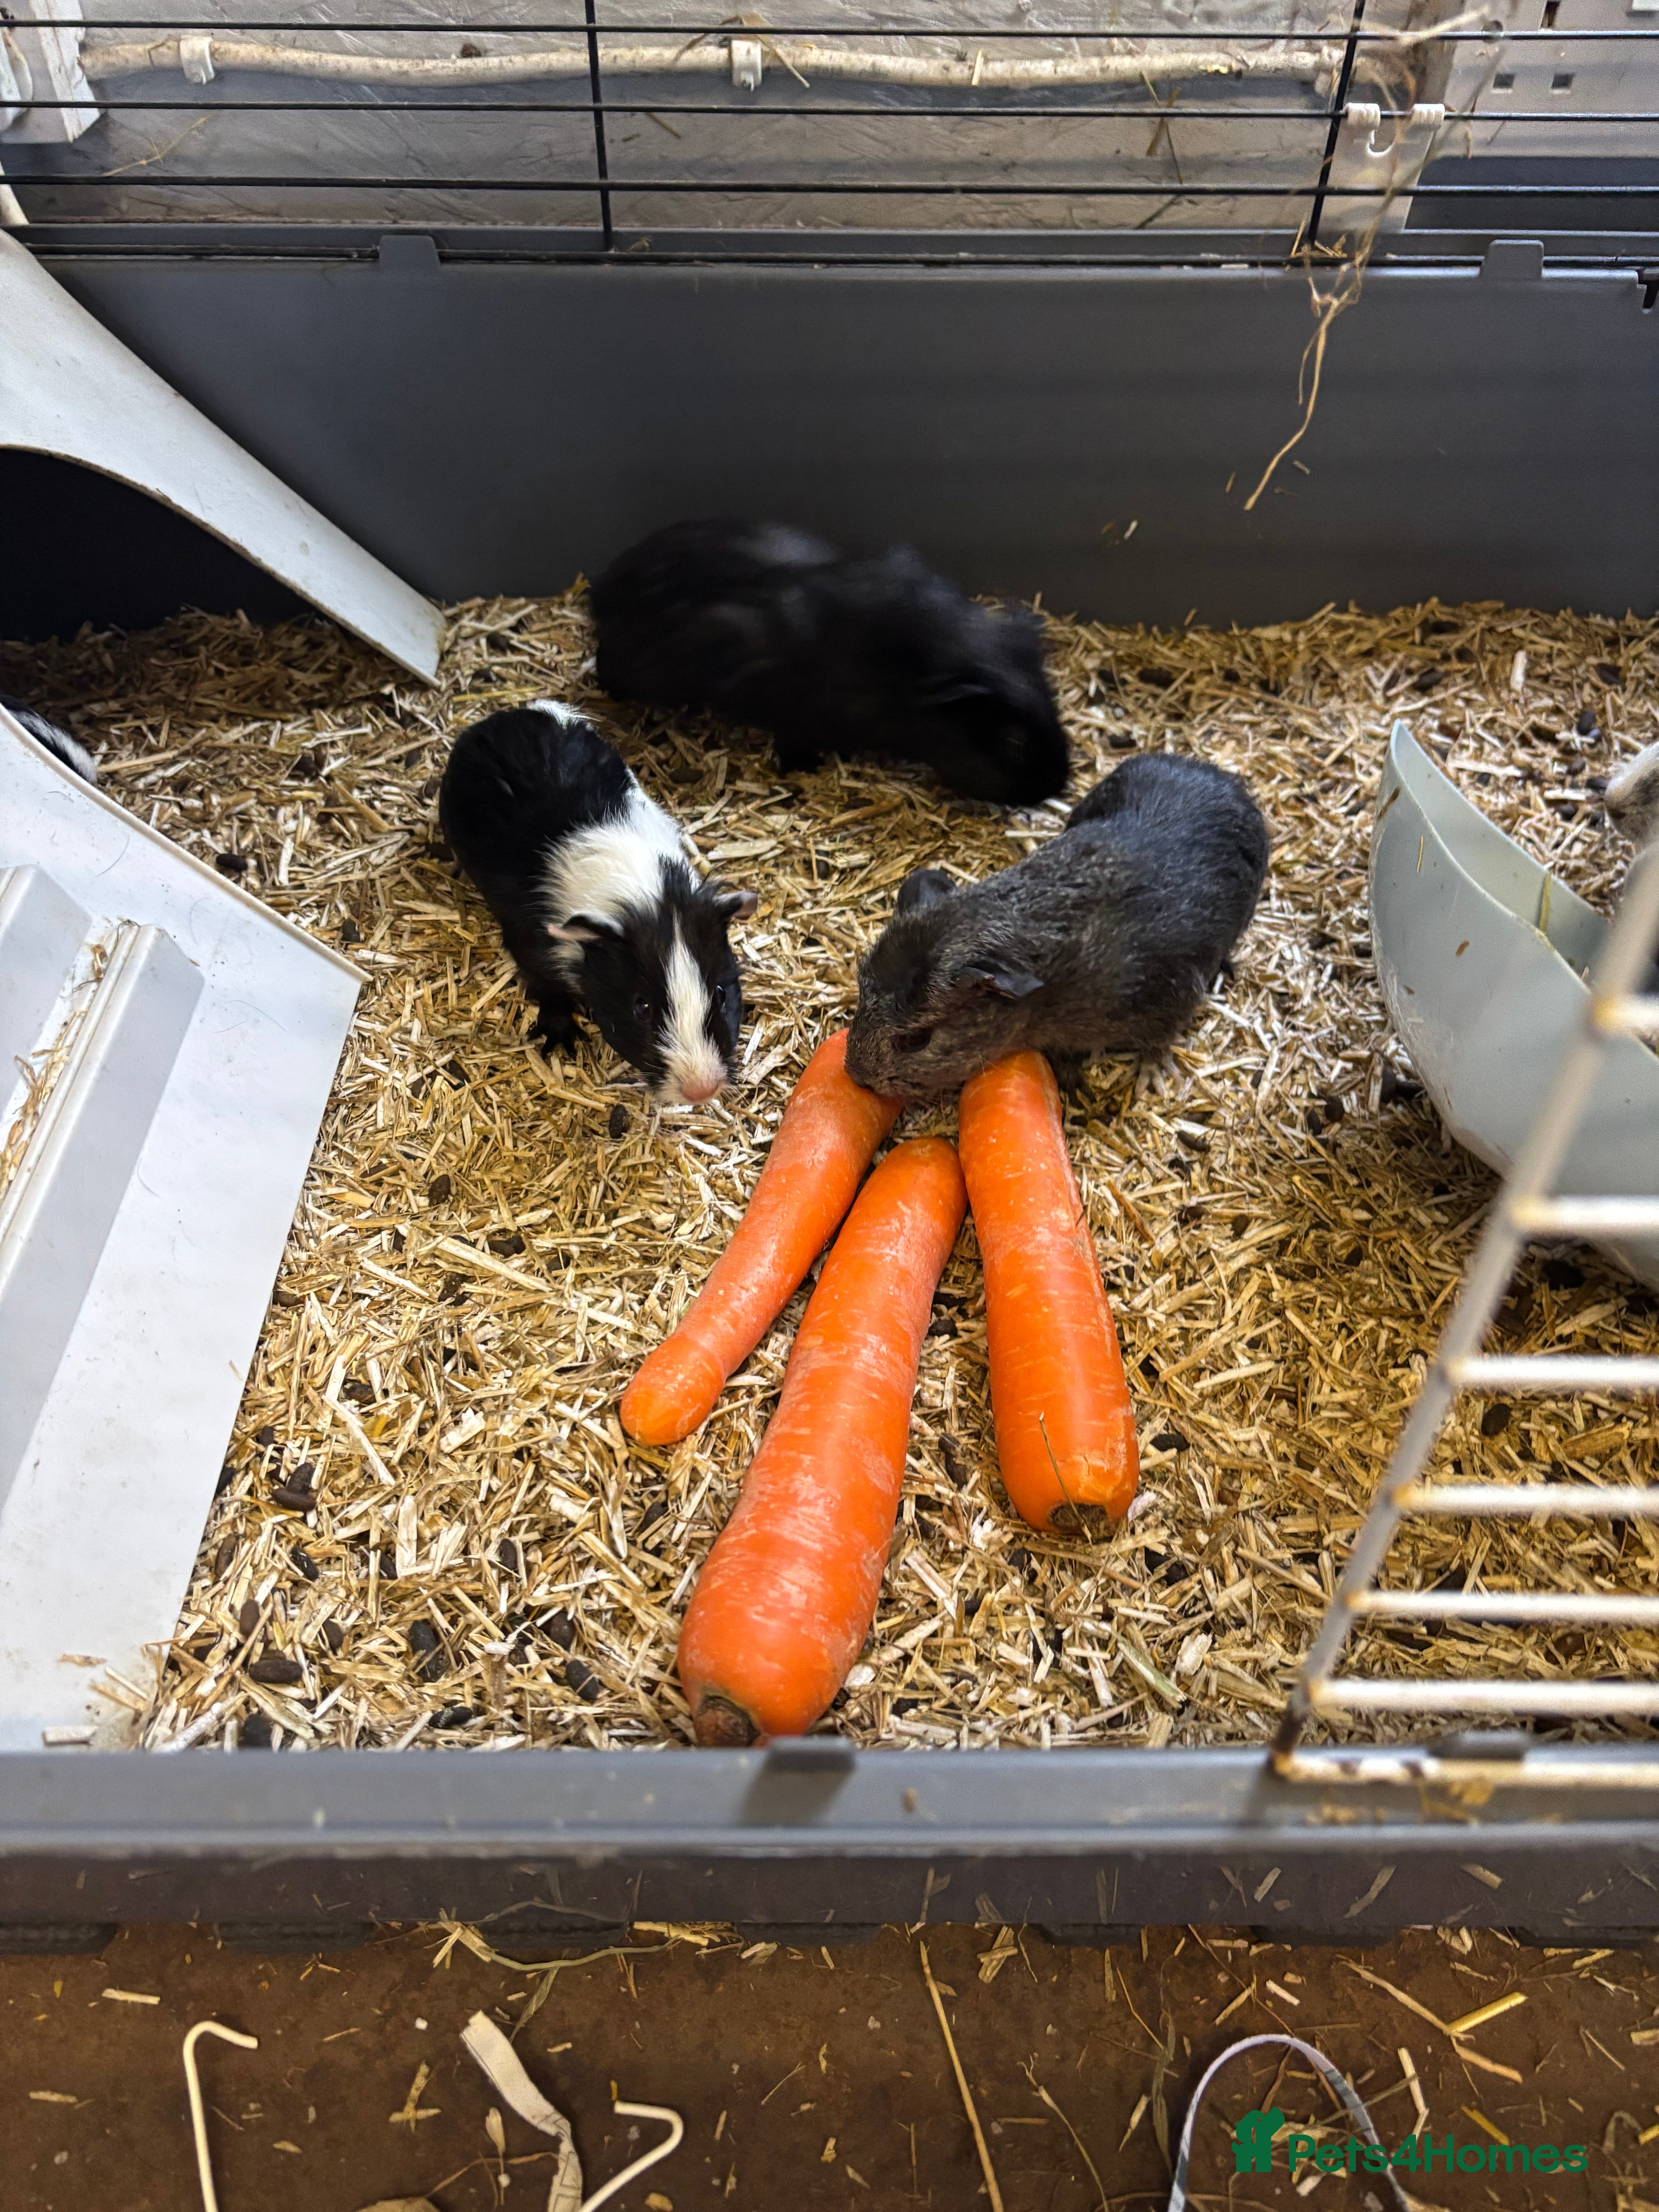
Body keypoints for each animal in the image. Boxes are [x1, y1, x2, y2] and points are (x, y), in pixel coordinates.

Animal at [439, 700, 756, 1107]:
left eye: (720, 993)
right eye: (641, 1006)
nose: (701, 1090)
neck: (646, 894)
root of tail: (505, 715)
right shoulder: (531, 950)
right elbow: (548, 990)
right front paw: (560, 1043)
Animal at [844, 750, 1269, 1099]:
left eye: (916, 1040)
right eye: (861, 995)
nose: (854, 1075)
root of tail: (1218, 775)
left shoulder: (1175, 994)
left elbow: (1160, 1041)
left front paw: (1152, 1082)